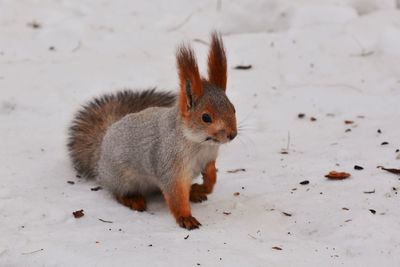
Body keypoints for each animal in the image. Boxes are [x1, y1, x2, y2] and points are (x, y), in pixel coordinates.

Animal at [67, 33, 238, 230]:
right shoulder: (169, 167)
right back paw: (133, 199)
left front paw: (202, 187)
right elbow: (175, 195)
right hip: (122, 178)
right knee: (117, 193)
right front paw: (185, 217)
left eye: (233, 108)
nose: (232, 134)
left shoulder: (208, 159)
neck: (199, 143)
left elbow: (211, 179)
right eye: (206, 117)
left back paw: (193, 192)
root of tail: (101, 152)